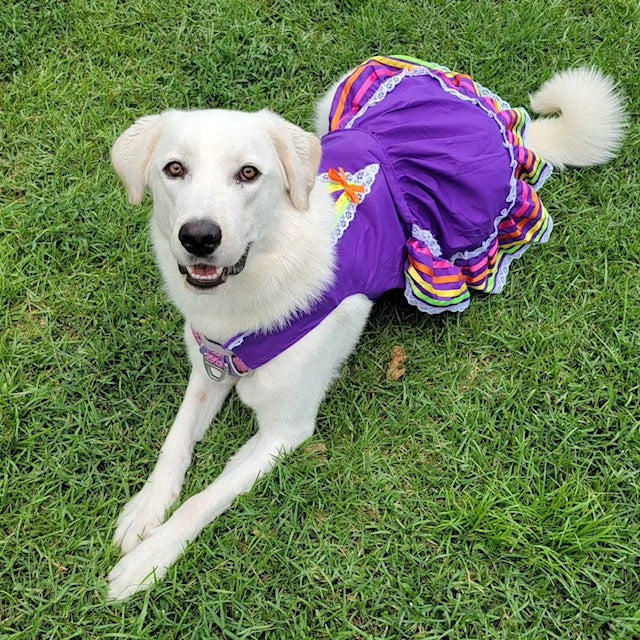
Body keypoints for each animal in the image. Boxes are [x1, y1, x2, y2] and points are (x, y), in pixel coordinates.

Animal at [106, 56, 624, 600]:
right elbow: (176, 442)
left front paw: (148, 560)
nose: (199, 237)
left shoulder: (285, 431)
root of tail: (500, 126)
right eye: (174, 169)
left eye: (248, 173)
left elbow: (204, 500)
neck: (247, 295)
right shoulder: (208, 370)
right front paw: (145, 509)